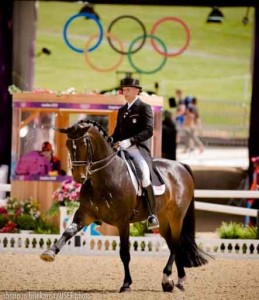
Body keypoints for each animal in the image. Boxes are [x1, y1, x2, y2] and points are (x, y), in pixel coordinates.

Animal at [41, 119, 211, 292]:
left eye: (84, 143)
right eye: (68, 144)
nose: (78, 177)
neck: (105, 176)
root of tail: (181, 165)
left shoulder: (122, 222)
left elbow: (124, 253)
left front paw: (126, 284)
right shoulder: (85, 214)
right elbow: (68, 232)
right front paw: (50, 252)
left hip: (176, 216)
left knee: (176, 244)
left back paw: (168, 278)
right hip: (162, 218)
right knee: (172, 244)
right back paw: (176, 281)